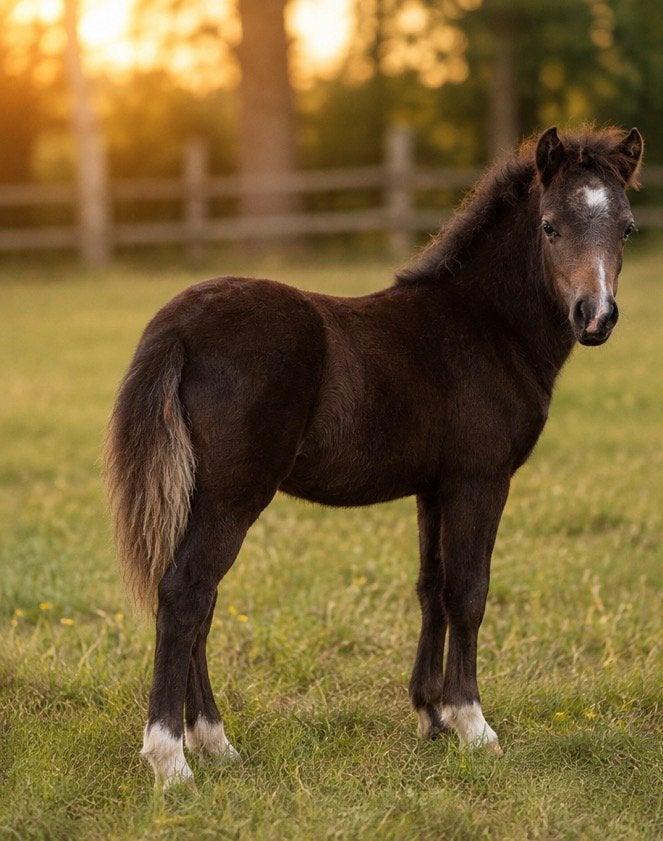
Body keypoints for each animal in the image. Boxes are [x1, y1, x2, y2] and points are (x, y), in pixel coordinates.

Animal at [104, 126, 643, 788]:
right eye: (550, 226)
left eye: (626, 227)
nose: (595, 316)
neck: (487, 326)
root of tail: (177, 323)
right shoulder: (480, 478)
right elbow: (469, 590)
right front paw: (474, 726)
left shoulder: (435, 486)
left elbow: (431, 587)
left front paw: (431, 718)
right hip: (232, 493)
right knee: (187, 594)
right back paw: (172, 758)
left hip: (203, 494)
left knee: (195, 600)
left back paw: (215, 743)